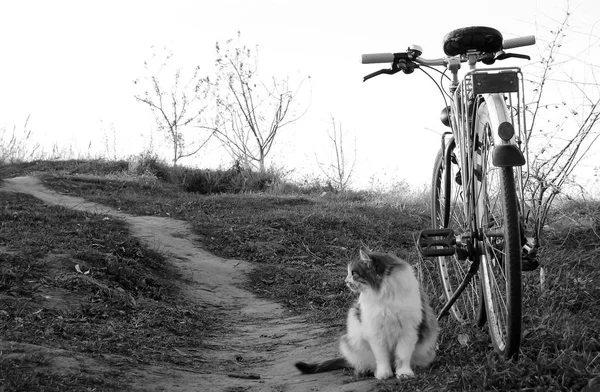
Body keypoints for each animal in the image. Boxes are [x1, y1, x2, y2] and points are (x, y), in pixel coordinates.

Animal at [294, 248, 438, 380]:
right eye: (349, 273)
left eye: (353, 273)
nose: (345, 281)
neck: (384, 296)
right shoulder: (375, 332)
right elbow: (381, 357)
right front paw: (384, 373)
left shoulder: (408, 331)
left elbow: (402, 356)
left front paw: (404, 373)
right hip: (352, 342)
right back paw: (367, 371)